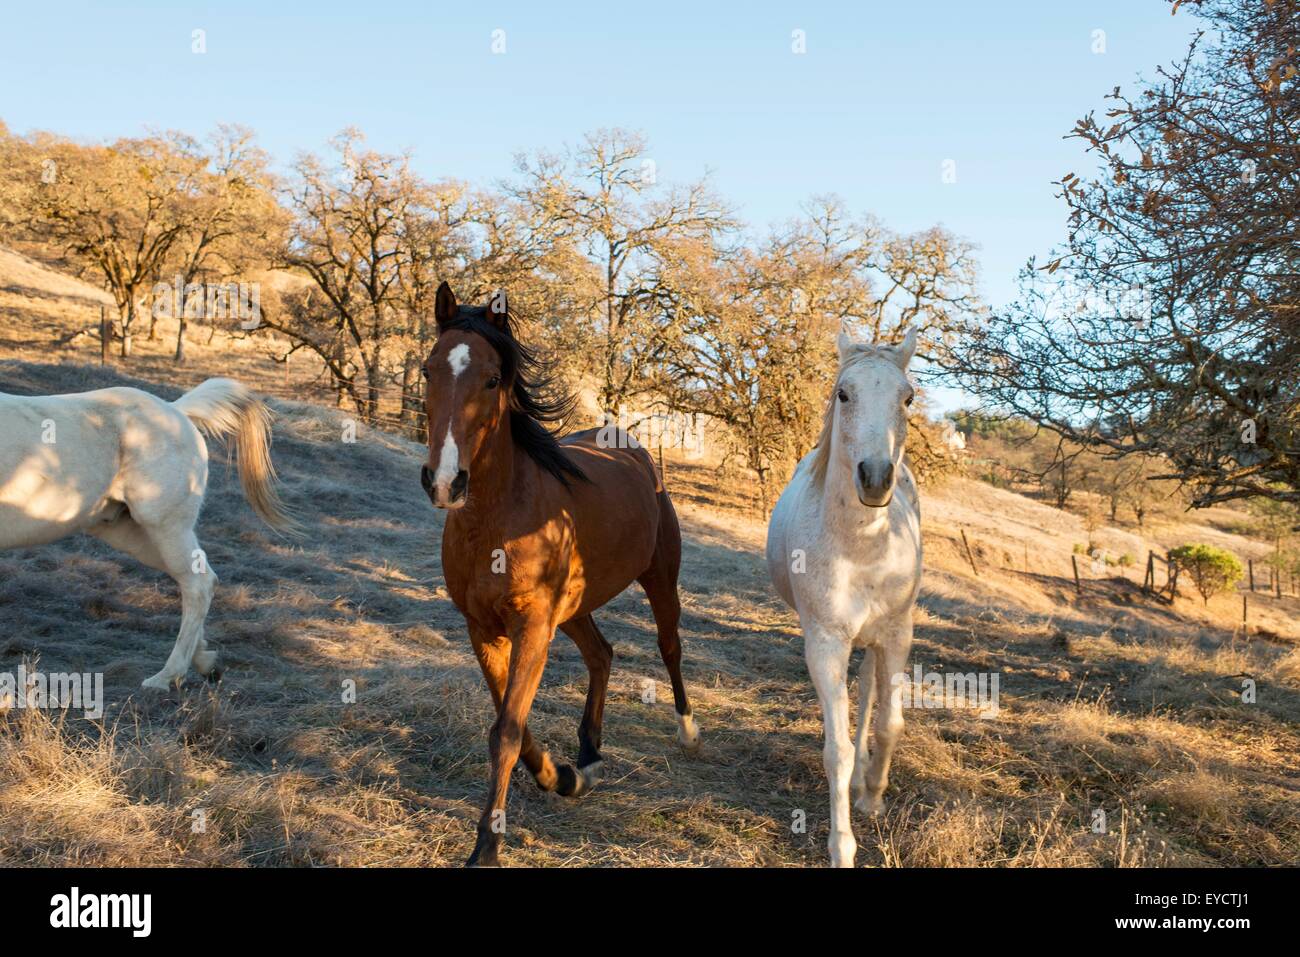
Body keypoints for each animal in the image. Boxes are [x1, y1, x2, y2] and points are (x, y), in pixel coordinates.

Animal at [0, 374, 297, 686]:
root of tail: (177, 410)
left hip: (166, 527)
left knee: (198, 585)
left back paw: (166, 677)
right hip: (133, 535)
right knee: (198, 580)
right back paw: (206, 661)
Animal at [421, 282, 702, 868]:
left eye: (491, 379)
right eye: (427, 370)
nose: (444, 481)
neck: (498, 519)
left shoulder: (531, 628)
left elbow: (505, 731)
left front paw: (486, 848)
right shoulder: (484, 630)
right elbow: (514, 724)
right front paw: (560, 776)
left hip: (659, 580)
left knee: (669, 646)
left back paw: (687, 730)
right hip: (573, 609)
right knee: (602, 654)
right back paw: (589, 757)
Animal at [759, 327, 925, 868]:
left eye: (907, 398)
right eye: (843, 394)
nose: (874, 478)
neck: (863, 549)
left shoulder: (896, 634)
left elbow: (890, 724)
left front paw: (871, 796)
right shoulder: (826, 642)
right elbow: (837, 750)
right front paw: (842, 846)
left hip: (879, 639)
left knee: (871, 691)